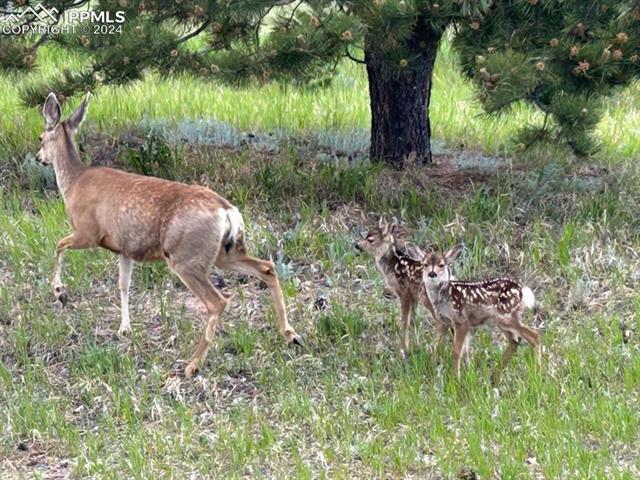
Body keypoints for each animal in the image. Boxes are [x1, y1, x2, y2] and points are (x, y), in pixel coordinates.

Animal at [36, 93, 302, 378]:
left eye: (41, 137)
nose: (39, 157)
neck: (75, 182)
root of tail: (227, 211)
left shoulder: (88, 232)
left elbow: (58, 245)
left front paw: (59, 291)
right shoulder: (124, 248)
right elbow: (123, 284)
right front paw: (124, 329)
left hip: (185, 256)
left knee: (217, 301)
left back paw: (193, 365)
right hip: (225, 252)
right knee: (267, 267)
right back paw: (290, 334)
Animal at [352, 219, 448, 354]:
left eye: (370, 239)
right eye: (366, 235)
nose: (357, 245)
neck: (393, 266)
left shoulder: (404, 292)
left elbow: (404, 321)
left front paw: (404, 349)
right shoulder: (413, 295)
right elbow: (413, 321)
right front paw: (414, 346)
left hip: (428, 299)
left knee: (443, 323)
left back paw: (436, 350)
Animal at [424, 246, 540, 380]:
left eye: (441, 264)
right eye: (425, 264)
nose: (432, 274)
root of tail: (523, 290)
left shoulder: (461, 320)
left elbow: (457, 351)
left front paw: (456, 378)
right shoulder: (444, 323)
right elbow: (437, 347)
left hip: (505, 316)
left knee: (534, 336)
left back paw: (538, 373)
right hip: (504, 319)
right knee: (515, 341)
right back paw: (494, 377)